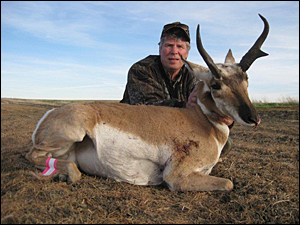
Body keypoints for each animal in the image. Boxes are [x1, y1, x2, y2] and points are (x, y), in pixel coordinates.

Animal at [25, 14, 270, 192]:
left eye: (245, 78)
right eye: (216, 85)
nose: (254, 118)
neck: (202, 120)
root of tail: (51, 113)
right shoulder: (177, 176)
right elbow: (228, 183)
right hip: (72, 132)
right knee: (33, 155)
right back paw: (62, 175)